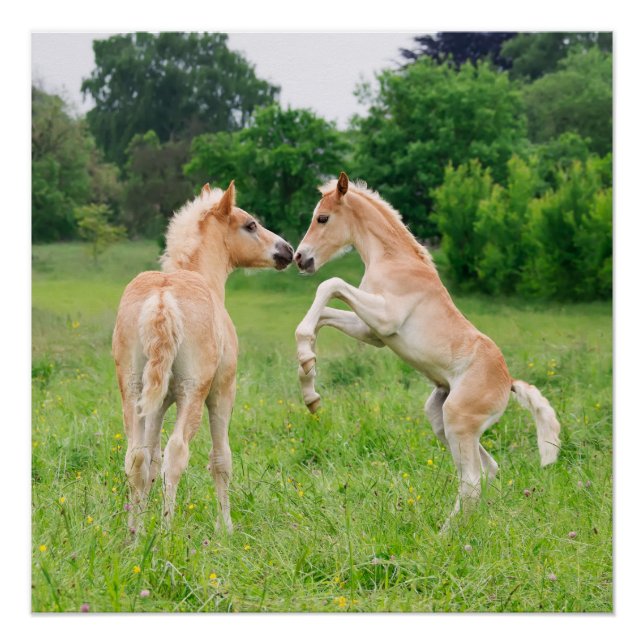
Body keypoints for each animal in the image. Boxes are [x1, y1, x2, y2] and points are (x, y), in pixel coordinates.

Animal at [112, 181, 293, 534]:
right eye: (250, 225)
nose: (287, 250)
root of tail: (163, 299)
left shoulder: (157, 404)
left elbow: (150, 459)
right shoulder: (222, 392)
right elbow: (220, 459)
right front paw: (227, 528)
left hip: (133, 390)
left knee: (136, 457)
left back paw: (134, 535)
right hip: (193, 392)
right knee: (176, 453)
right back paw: (167, 532)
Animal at [293, 172, 560, 532]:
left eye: (322, 218)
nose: (300, 258)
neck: (393, 260)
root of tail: (509, 383)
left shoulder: (384, 318)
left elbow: (329, 285)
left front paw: (308, 369)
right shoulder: (373, 331)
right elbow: (323, 315)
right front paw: (309, 382)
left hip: (458, 420)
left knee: (472, 480)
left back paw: (444, 536)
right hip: (441, 418)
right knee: (487, 470)